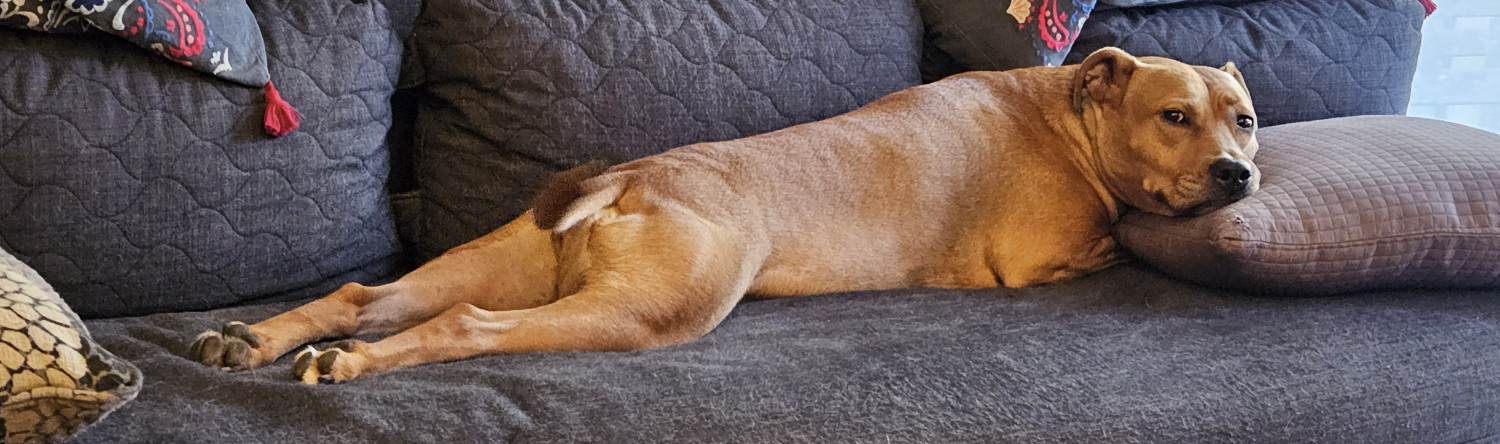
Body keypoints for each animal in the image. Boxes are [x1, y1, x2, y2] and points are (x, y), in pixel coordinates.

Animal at [190, 46, 1266, 384]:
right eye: (1175, 116)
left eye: (1245, 119)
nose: (1240, 175)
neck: (1066, 111)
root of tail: (632, 179)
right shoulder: (1049, 260)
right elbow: (1118, 244)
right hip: (642, 312)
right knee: (464, 326)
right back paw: (350, 365)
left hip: (493, 257)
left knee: (364, 293)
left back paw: (261, 340)